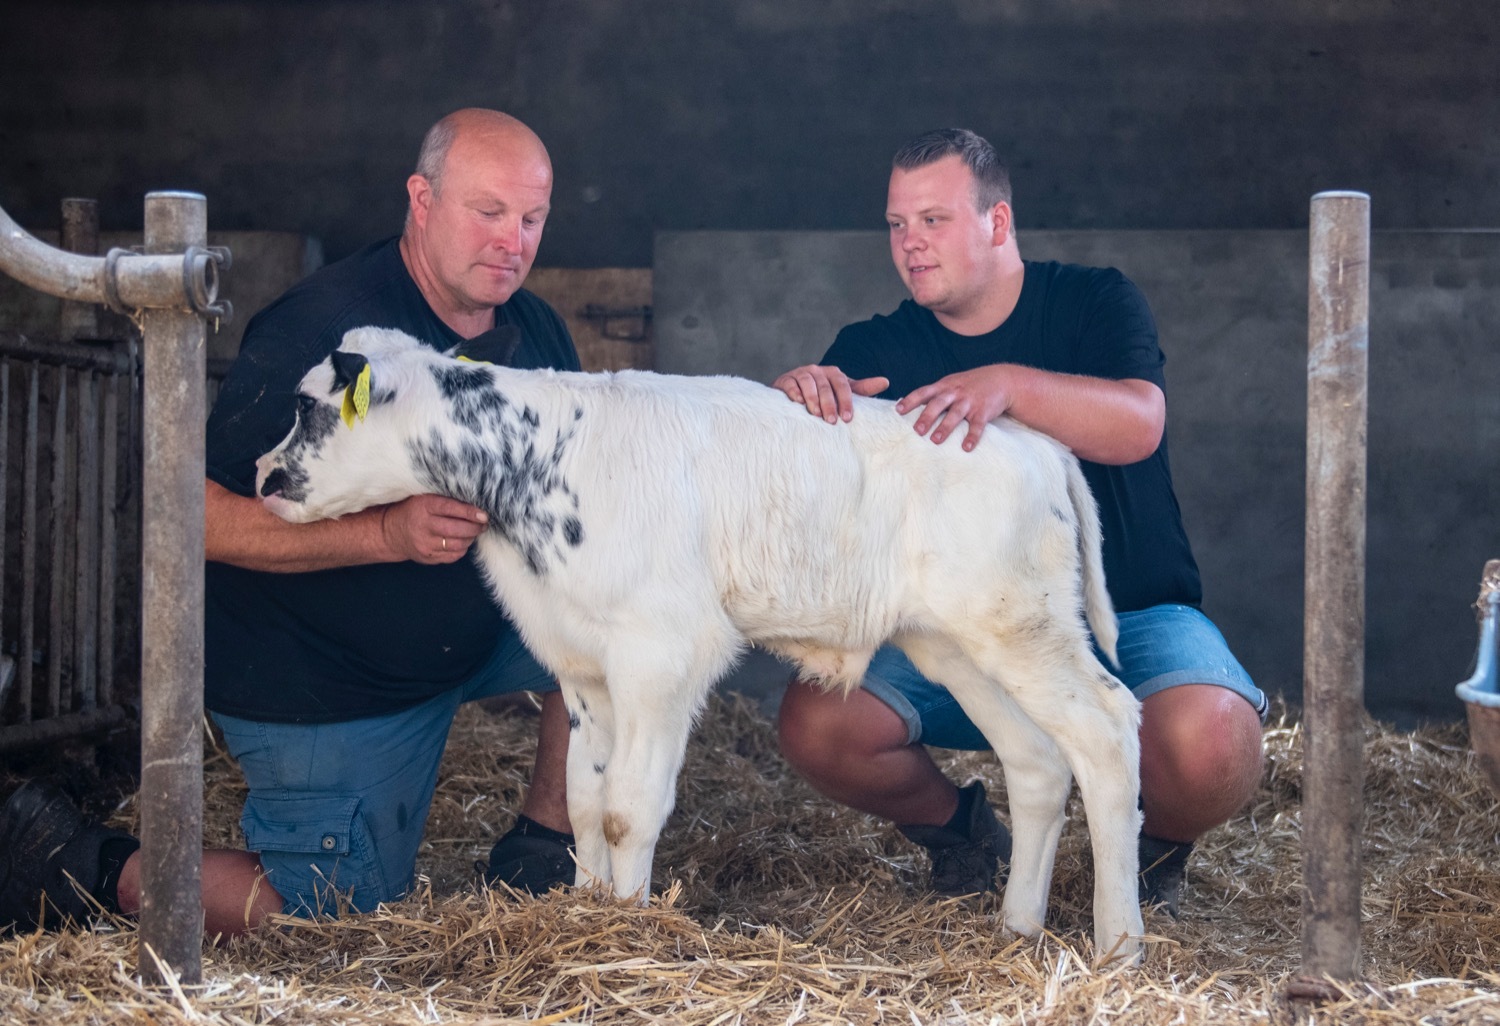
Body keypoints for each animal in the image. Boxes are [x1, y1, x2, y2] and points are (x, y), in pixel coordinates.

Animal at [261, 328, 1146, 960]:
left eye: (305, 407)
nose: (263, 476)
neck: (541, 466)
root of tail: (1032, 440)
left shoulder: (661, 650)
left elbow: (629, 808)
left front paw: (627, 923)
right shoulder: (582, 662)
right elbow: (584, 800)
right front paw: (585, 907)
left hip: (1023, 623)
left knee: (1108, 730)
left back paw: (1119, 944)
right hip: (956, 641)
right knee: (1037, 761)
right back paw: (1017, 928)